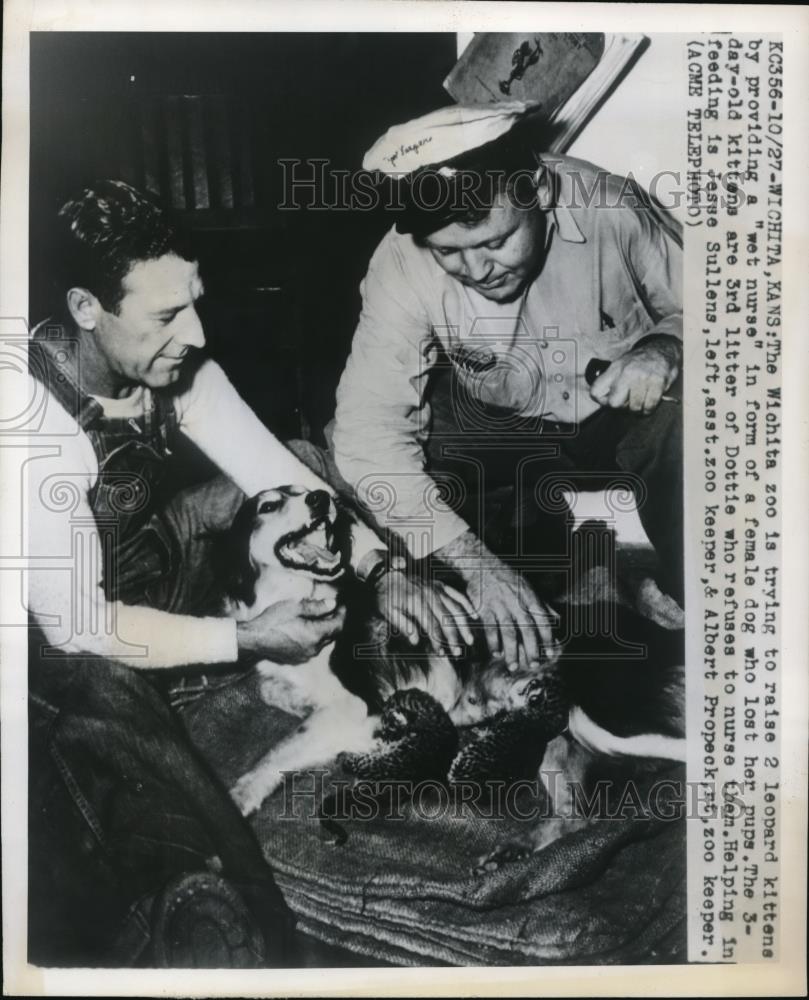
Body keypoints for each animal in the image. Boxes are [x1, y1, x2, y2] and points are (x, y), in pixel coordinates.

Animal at [219, 484, 680, 820]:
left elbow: (281, 747)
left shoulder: (355, 705)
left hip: (606, 720)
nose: (322, 497)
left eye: (300, 494)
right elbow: (269, 689)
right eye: (269, 504)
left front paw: (240, 794)